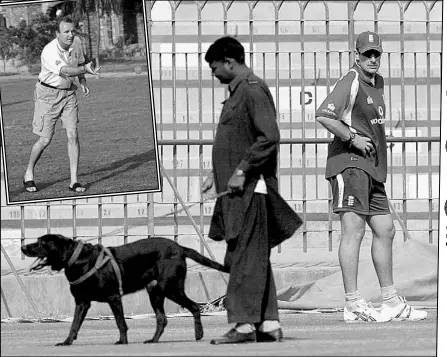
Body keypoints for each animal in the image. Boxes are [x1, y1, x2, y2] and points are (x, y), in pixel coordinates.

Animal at [20, 234, 228, 344]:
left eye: (41, 243)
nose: (23, 247)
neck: (78, 259)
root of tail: (179, 247)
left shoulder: (113, 297)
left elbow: (121, 322)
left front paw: (122, 341)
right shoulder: (82, 302)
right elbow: (74, 324)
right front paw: (67, 342)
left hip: (170, 288)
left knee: (194, 307)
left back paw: (199, 335)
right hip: (155, 292)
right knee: (162, 319)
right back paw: (153, 340)